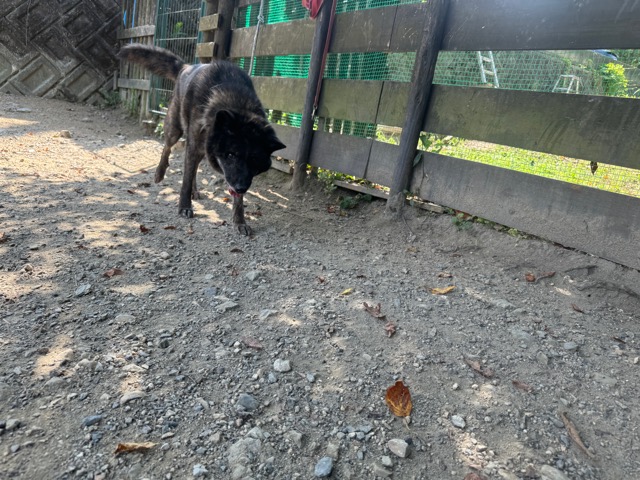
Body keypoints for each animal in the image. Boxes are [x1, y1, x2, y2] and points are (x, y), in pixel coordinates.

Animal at [117, 44, 285, 235]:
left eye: (254, 160)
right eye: (231, 155)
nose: (240, 187)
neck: (233, 102)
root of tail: (186, 66)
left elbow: (238, 200)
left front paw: (240, 221)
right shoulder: (194, 148)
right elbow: (185, 180)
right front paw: (184, 207)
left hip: (201, 149)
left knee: (194, 168)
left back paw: (195, 191)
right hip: (176, 130)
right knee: (167, 148)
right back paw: (159, 173)